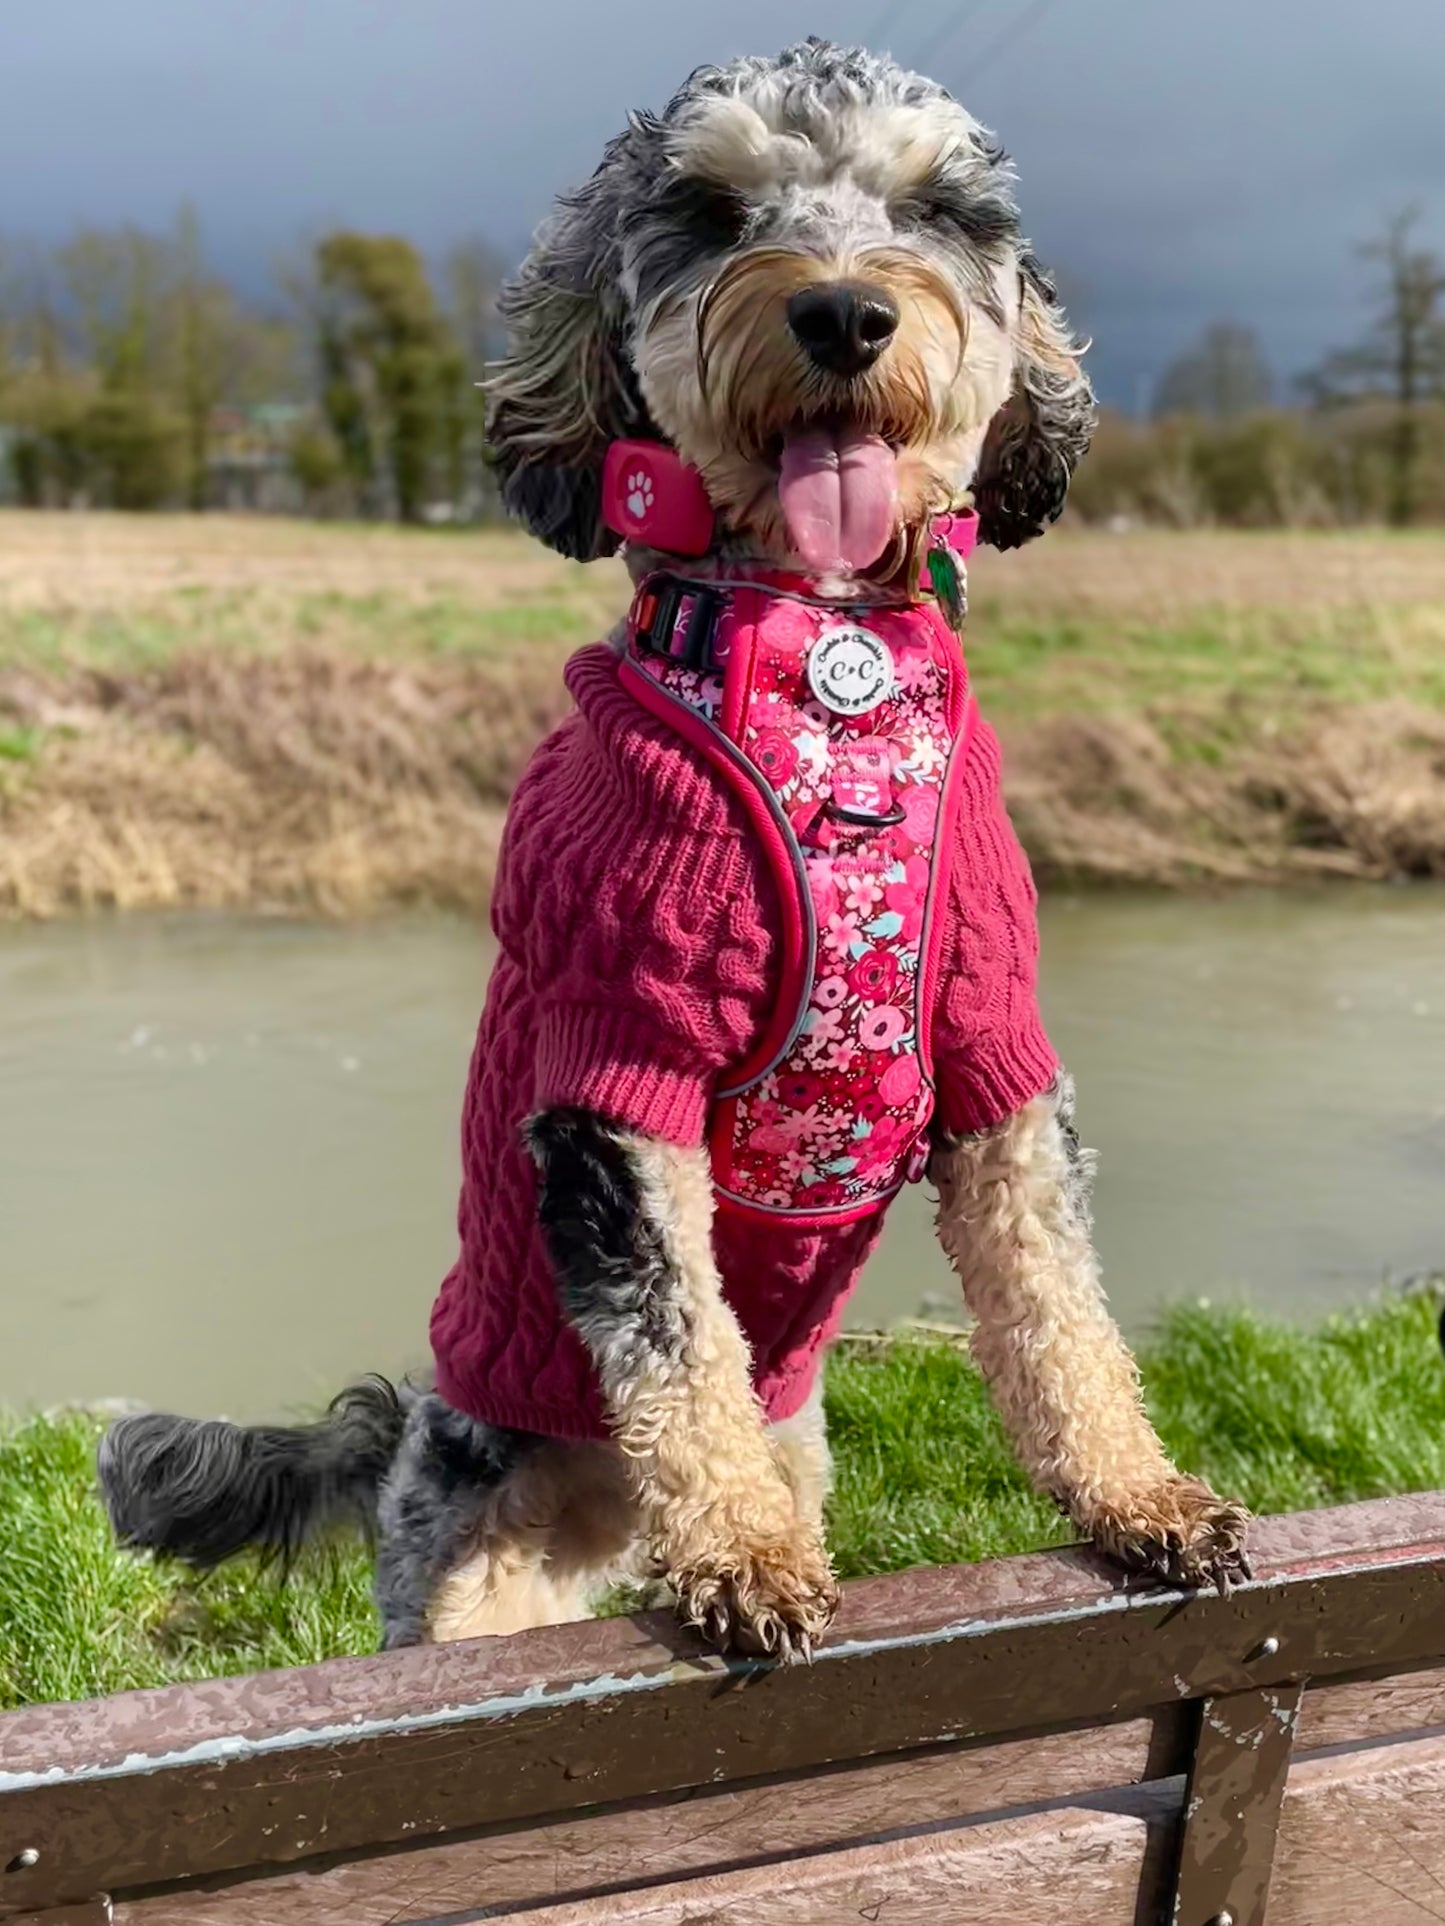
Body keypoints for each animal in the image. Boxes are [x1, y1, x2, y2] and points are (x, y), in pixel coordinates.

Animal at [102, 48, 1256, 1671]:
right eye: (710, 210)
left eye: (932, 209)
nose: (842, 311)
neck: (824, 685)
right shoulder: (620, 1061)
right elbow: (676, 1338)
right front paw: (744, 1558)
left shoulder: (992, 1045)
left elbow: (1058, 1305)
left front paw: (1138, 1492)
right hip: (461, 1550)